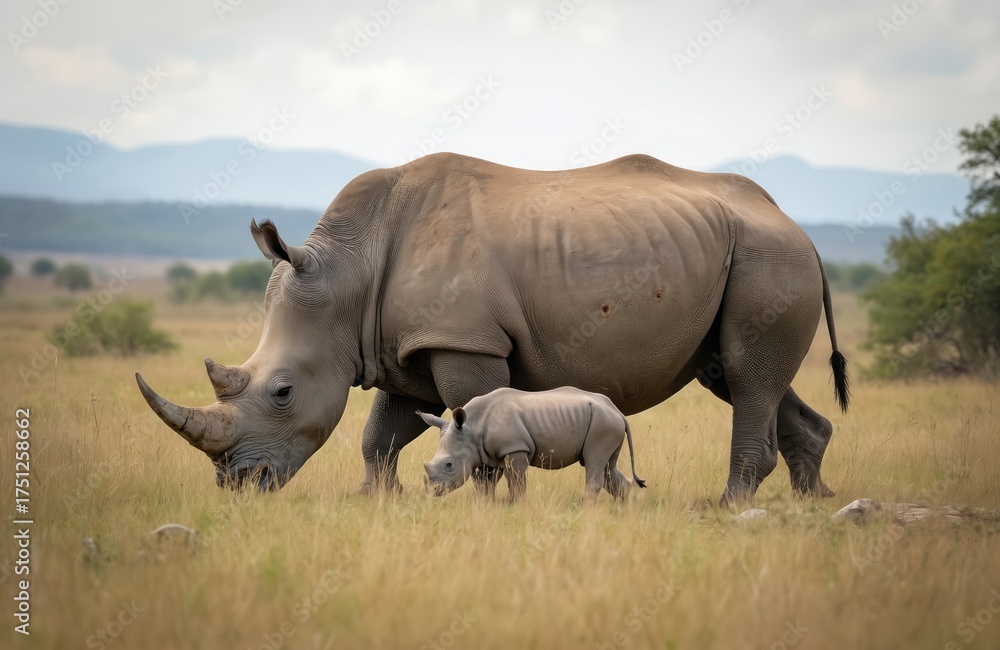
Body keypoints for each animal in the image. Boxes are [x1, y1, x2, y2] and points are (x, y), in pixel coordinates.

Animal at [419, 387, 646, 502]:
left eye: (449, 465)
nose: (433, 492)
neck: (471, 428)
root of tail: (618, 412)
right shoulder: (484, 454)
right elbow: (484, 484)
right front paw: (485, 505)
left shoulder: (515, 448)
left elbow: (516, 481)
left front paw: (516, 505)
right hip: (606, 421)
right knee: (608, 466)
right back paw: (625, 508)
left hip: (602, 424)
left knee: (594, 460)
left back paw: (586, 510)